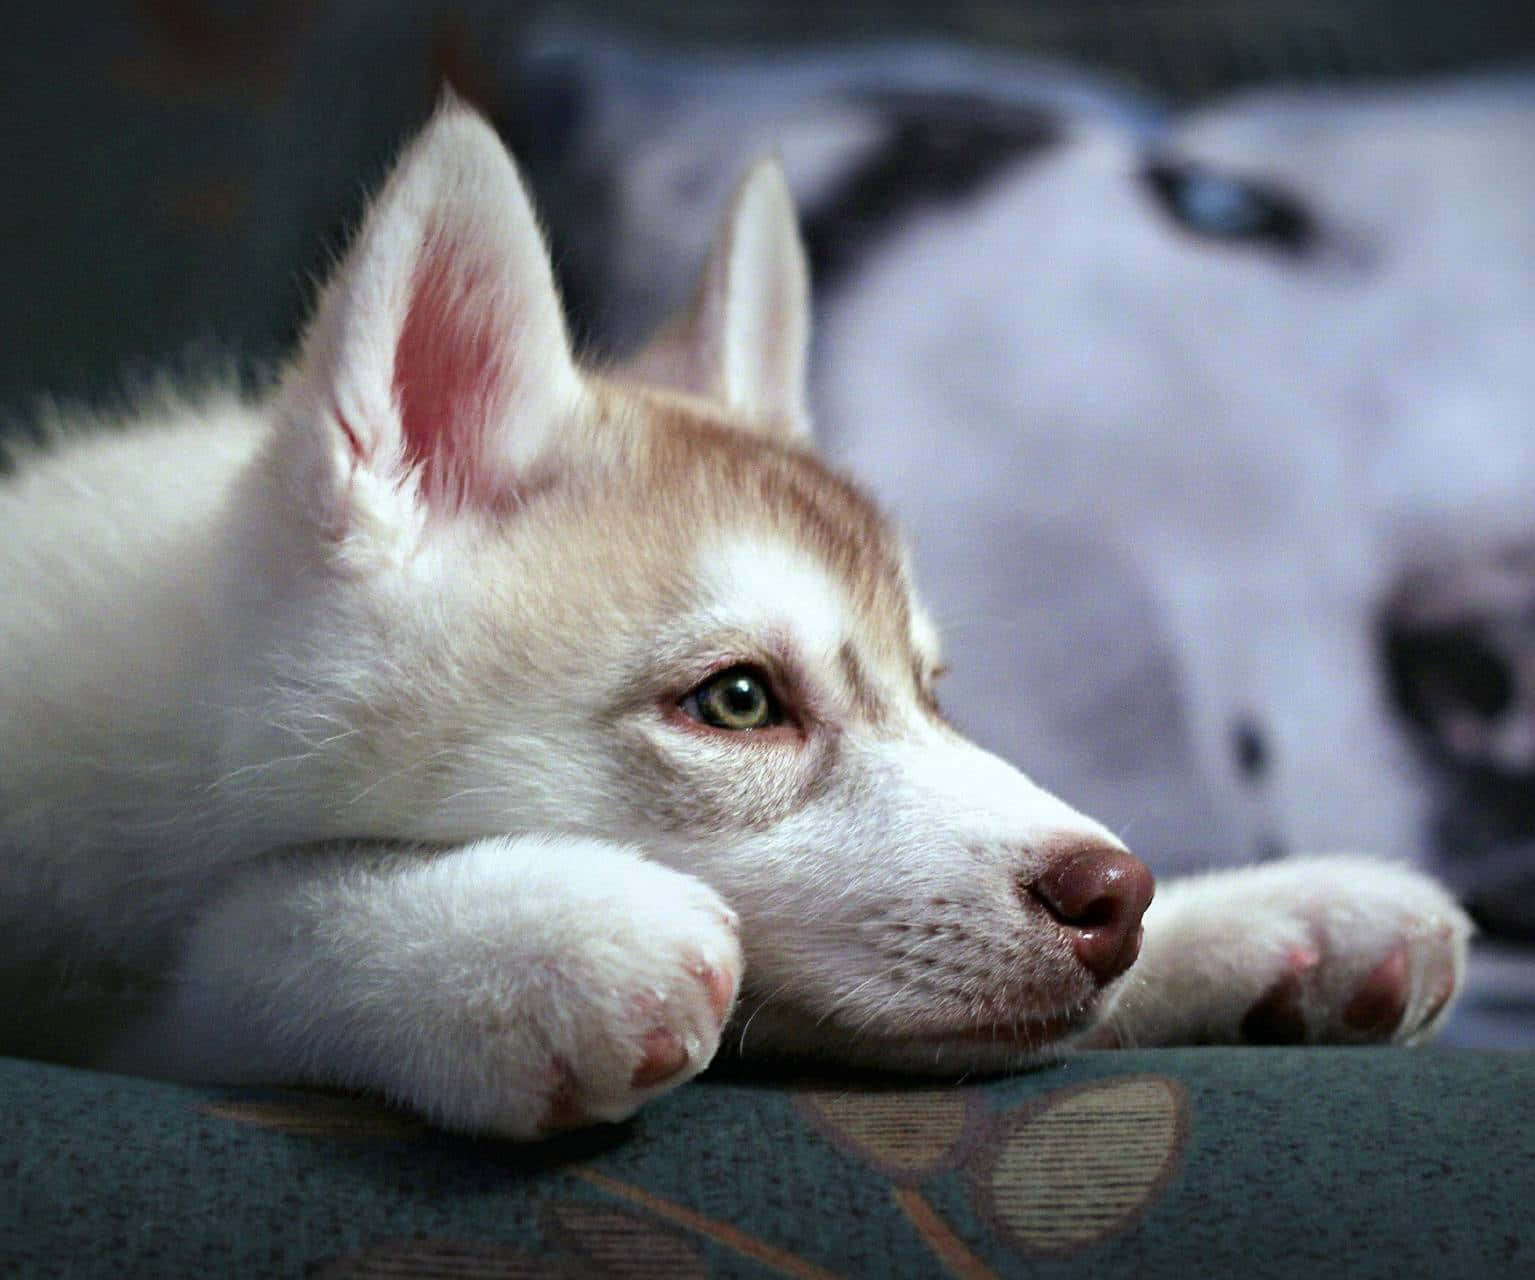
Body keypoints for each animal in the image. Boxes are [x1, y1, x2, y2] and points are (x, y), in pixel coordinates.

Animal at [0, 104, 1461, 1129]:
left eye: (934, 690)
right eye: (740, 699)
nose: (1117, 893)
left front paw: (1260, 919)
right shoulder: (86, 978)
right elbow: (233, 945)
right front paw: (511, 941)